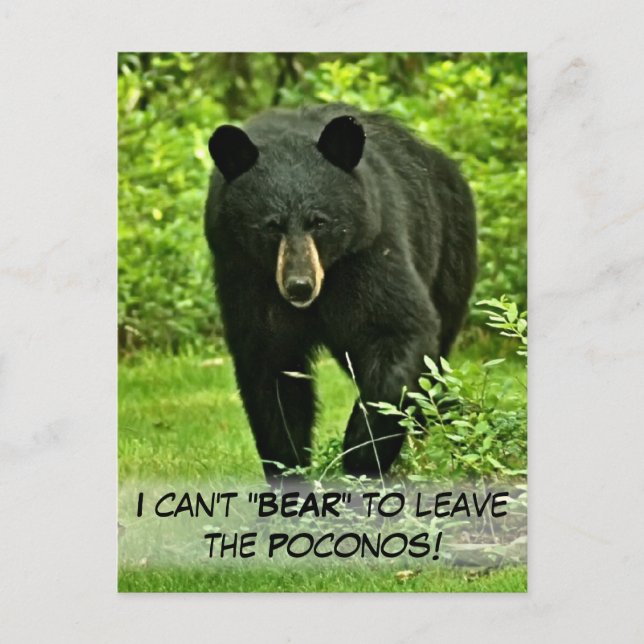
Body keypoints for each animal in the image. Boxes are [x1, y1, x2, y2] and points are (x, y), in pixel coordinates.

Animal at [204, 103, 477, 483]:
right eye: (272, 226)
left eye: (319, 222)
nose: (299, 285)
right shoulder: (246, 276)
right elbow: (269, 365)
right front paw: (288, 469)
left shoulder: (369, 251)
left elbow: (397, 329)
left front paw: (360, 454)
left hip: (449, 254)